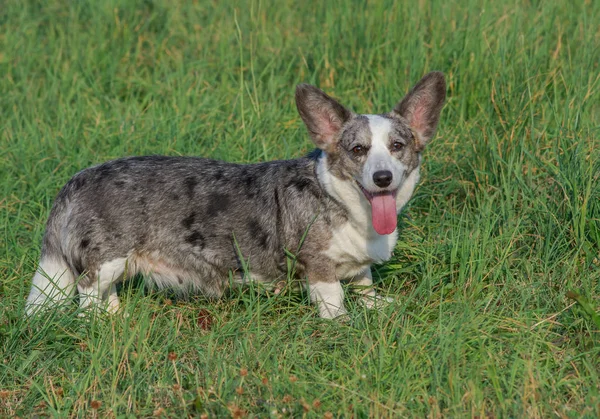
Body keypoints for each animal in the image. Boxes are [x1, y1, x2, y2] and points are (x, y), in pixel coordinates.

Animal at [24, 74, 446, 320]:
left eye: (397, 146)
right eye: (358, 150)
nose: (382, 178)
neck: (343, 201)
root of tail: (77, 179)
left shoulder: (358, 267)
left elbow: (364, 283)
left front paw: (377, 304)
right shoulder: (319, 267)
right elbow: (334, 300)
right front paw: (344, 324)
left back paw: (116, 316)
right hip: (108, 259)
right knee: (87, 292)